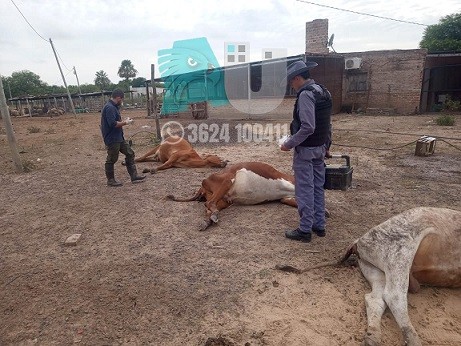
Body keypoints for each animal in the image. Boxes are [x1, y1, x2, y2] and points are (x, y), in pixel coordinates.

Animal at [166, 162, 298, 231]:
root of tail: (201, 187)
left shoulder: (286, 198)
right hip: (228, 179)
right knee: (209, 203)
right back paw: (212, 218)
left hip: (223, 201)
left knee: (209, 209)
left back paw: (208, 221)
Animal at [276, 207, 460, 346]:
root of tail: (358, 240)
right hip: (401, 250)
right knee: (394, 296)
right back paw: (412, 340)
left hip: (376, 269)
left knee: (375, 298)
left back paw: (373, 336)